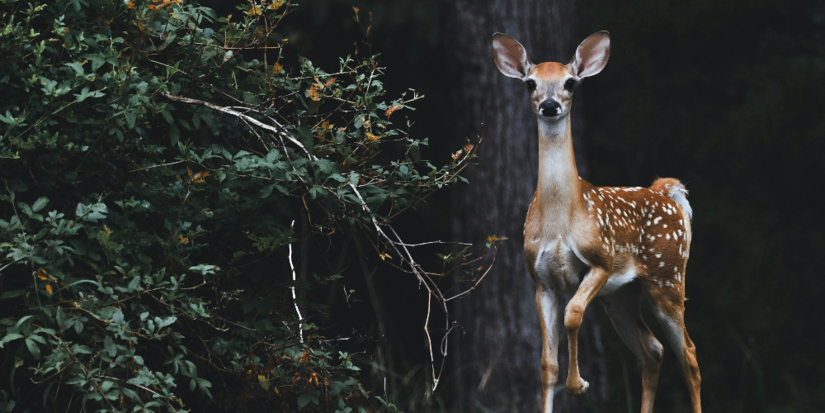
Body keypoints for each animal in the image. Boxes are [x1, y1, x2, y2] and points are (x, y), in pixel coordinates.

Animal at [490, 30, 700, 410]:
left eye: (570, 82)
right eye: (530, 83)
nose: (549, 105)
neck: (560, 221)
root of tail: (666, 193)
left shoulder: (601, 260)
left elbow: (573, 314)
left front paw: (579, 385)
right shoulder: (540, 280)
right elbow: (547, 364)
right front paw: (569, 382)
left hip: (668, 276)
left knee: (688, 354)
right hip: (621, 295)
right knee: (652, 351)